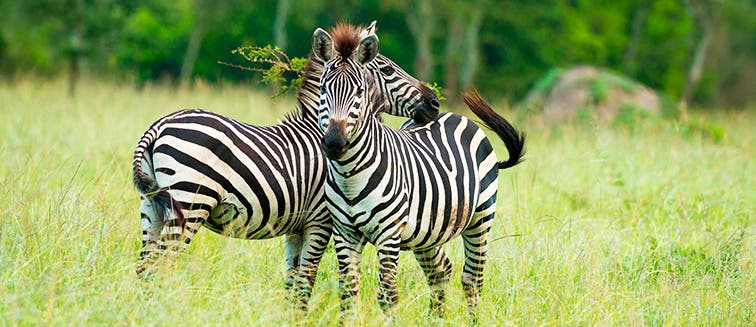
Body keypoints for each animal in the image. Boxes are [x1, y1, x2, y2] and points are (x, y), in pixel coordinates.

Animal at [129, 21, 438, 312]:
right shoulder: (320, 221)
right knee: (163, 265)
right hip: (190, 202)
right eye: (387, 69)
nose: (434, 103)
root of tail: (158, 126)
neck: (319, 128)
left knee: (146, 268)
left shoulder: (296, 227)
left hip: (152, 206)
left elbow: (292, 281)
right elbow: (306, 280)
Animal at [310, 24, 524, 322]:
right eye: (322, 89)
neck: (349, 174)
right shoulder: (344, 233)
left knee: (472, 279)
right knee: (440, 272)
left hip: (480, 219)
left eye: (360, 91)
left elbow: (387, 295)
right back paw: (437, 320)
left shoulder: (388, 234)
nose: (334, 142)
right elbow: (347, 294)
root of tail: (452, 115)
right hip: (429, 233)